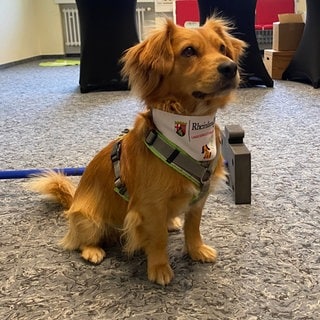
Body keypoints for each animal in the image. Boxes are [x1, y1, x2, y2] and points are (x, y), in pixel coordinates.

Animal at [30, 17, 245, 284]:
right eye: (188, 51)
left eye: (223, 48)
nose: (230, 67)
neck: (189, 132)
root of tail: (74, 201)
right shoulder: (151, 206)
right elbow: (158, 238)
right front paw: (159, 267)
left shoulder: (198, 199)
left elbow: (193, 227)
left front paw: (196, 250)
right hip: (88, 220)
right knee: (80, 240)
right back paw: (92, 251)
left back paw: (172, 222)